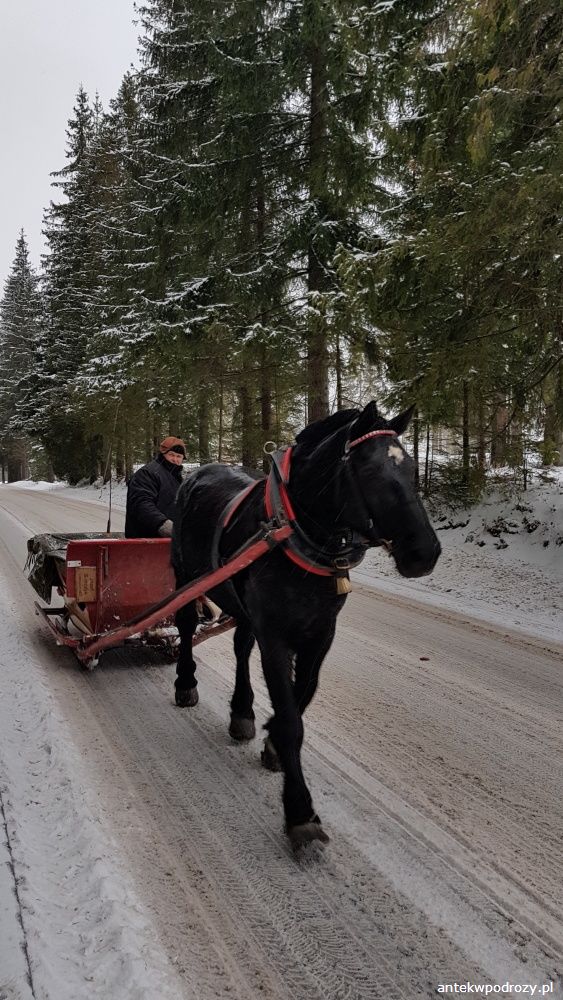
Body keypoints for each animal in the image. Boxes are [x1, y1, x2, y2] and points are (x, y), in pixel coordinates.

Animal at [172, 402, 440, 848]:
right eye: (369, 470)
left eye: (412, 468)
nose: (425, 553)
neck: (296, 531)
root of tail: (196, 471)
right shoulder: (276, 635)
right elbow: (292, 719)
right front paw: (299, 810)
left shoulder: (320, 633)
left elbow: (303, 697)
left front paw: (272, 742)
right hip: (183, 575)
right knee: (185, 625)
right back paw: (186, 682)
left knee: (240, 647)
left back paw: (241, 711)